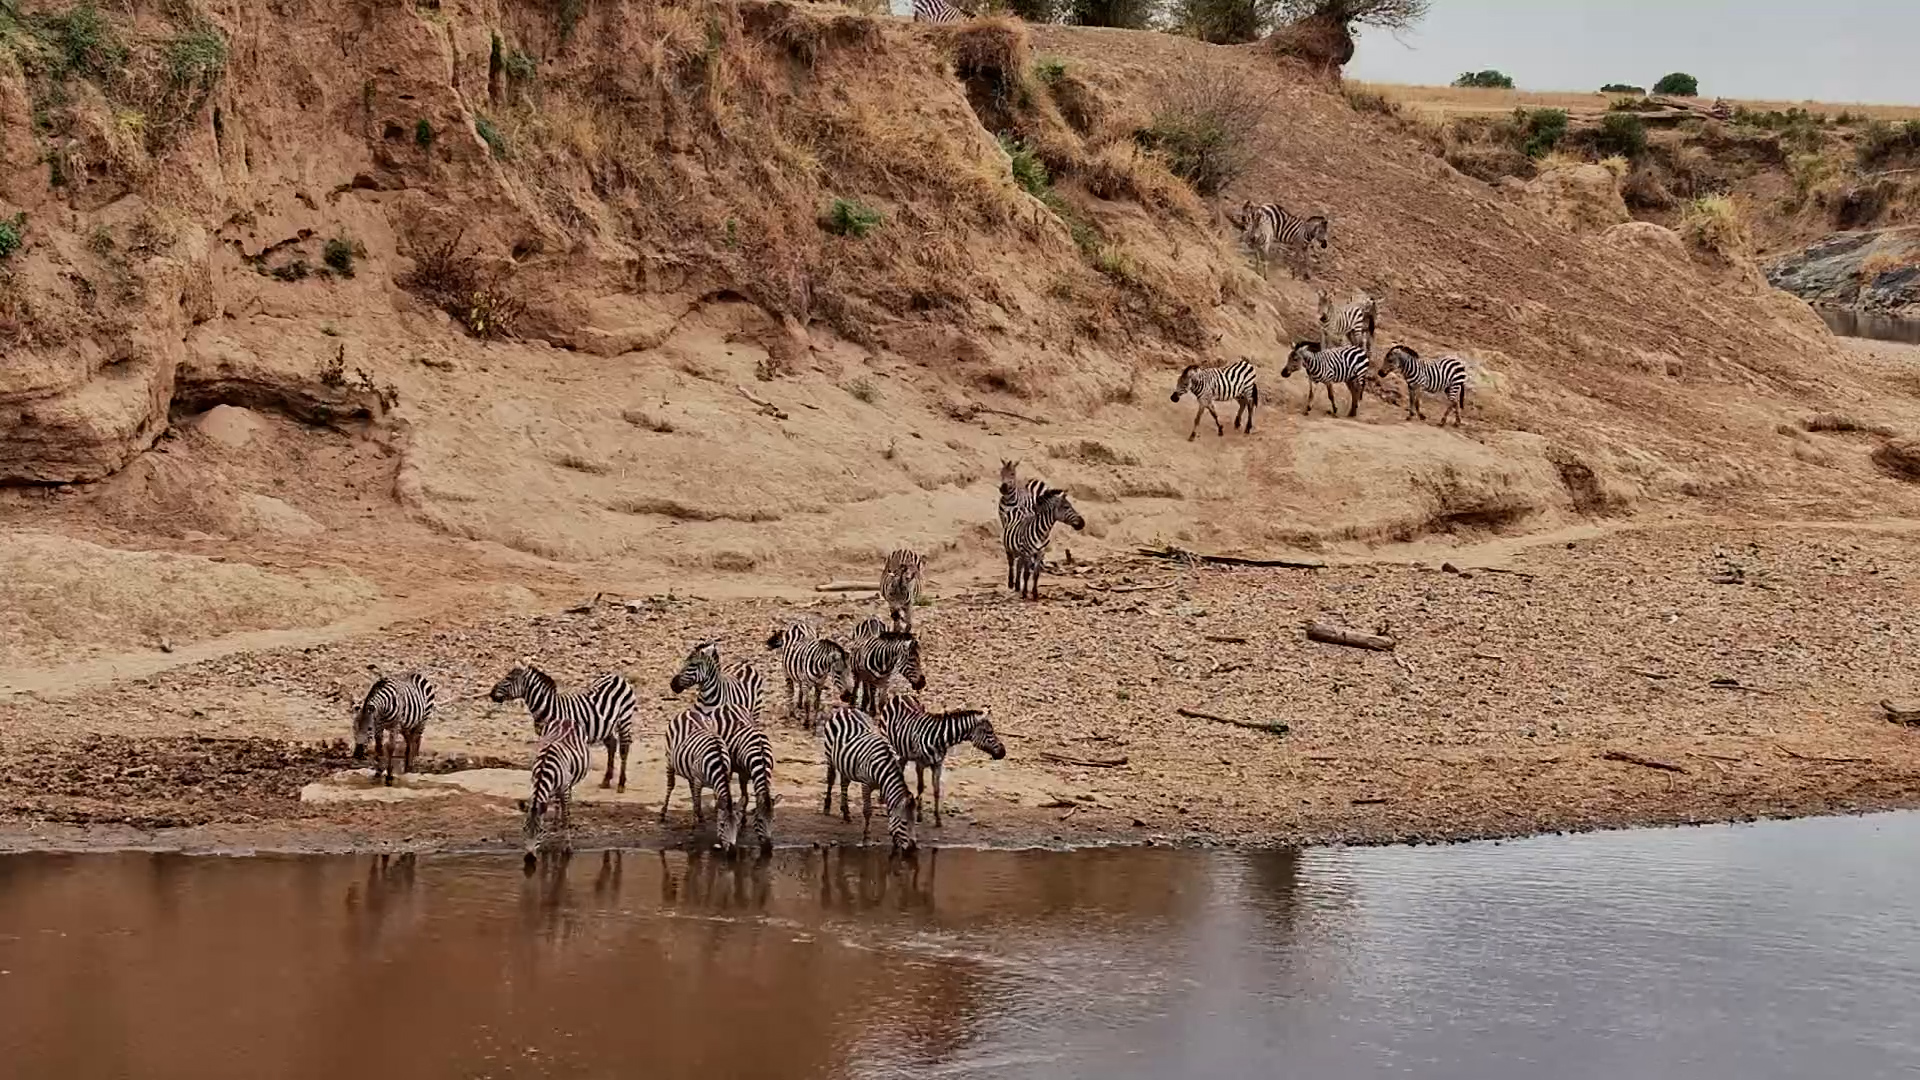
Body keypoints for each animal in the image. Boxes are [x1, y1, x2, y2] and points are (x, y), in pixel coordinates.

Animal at [489, 663, 636, 793]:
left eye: (508, 678)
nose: (491, 694)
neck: (549, 708)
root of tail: (616, 677)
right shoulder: (545, 736)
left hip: (624, 720)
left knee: (624, 749)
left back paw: (621, 784)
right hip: (606, 726)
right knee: (612, 744)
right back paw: (606, 781)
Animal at [658, 706, 737, 853]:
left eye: (737, 824)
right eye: (722, 825)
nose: (733, 853)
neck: (719, 762)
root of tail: (688, 711)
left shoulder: (717, 781)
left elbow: (710, 801)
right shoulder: (699, 781)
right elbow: (695, 803)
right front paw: (692, 832)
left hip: (690, 770)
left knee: (691, 789)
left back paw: (700, 816)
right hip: (669, 759)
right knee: (671, 785)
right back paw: (663, 813)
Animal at [670, 642, 775, 852]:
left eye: (692, 665)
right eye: (687, 662)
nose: (673, 685)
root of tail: (743, 663)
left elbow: (744, 796)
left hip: (756, 711)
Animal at [818, 705, 916, 851]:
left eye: (915, 821)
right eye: (904, 823)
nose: (913, 848)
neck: (884, 771)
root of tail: (848, 708)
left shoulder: (884, 787)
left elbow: (890, 811)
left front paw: (894, 839)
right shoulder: (866, 784)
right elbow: (867, 811)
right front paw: (866, 838)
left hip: (845, 761)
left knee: (844, 783)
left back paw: (846, 813)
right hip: (829, 754)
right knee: (830, 779)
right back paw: (827, 807)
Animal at [877, 696, 1005, 827]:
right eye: (989, 732)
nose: (1003, 752)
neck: (939, 739)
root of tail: (900, 696)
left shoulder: (938, 764)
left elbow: (937, 790)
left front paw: (938, 818)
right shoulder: (920, 764)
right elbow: (920, 787)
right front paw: (919, 815)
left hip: (904, 750)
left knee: (901, 766)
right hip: (887, 740)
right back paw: (883, 797)